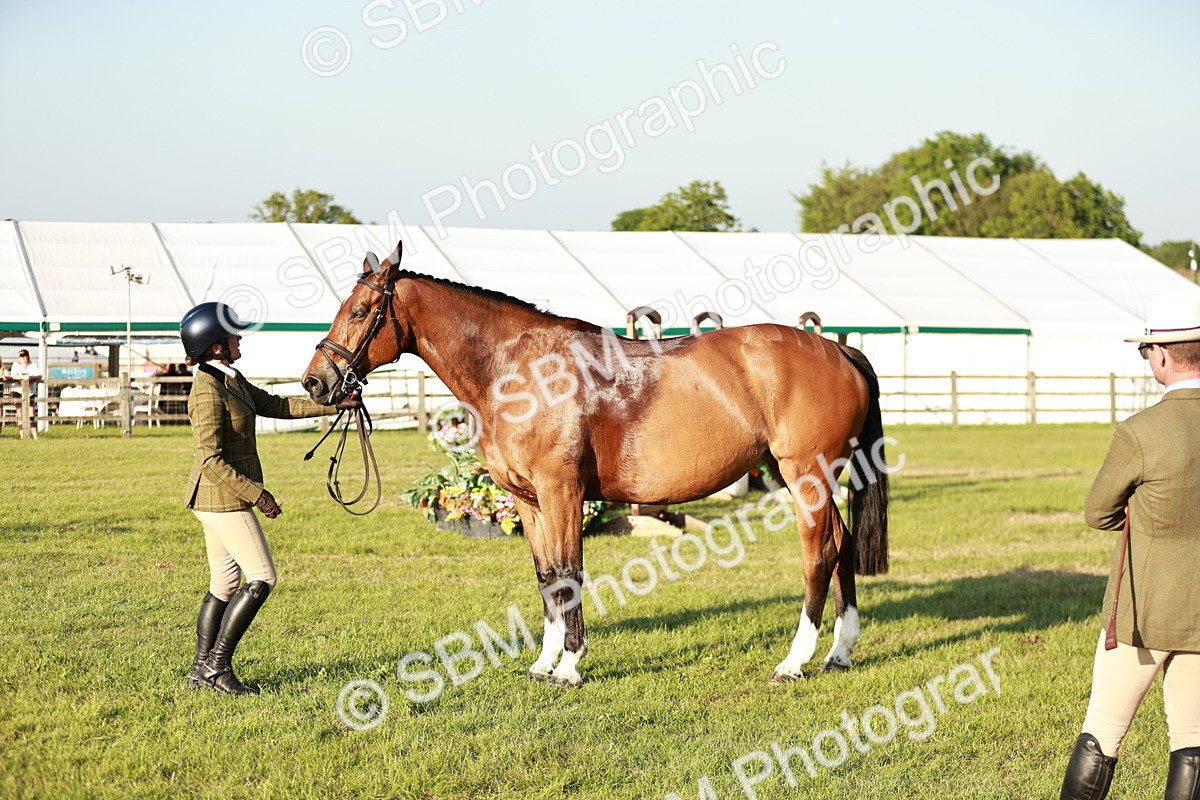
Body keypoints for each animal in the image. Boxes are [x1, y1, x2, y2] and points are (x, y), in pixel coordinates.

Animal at [302, 242, 889, 687]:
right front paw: (543, 663)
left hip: (804, 475)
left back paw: (794, 661)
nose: (315, 382)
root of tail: (838, 351)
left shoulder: (561, 491)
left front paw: (570, 666)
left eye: (360, 311)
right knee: (841, 545)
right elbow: (546, 578)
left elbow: (569, 574)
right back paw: (839, 653)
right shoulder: (528, 500)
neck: (521, 370)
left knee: (820, 553)